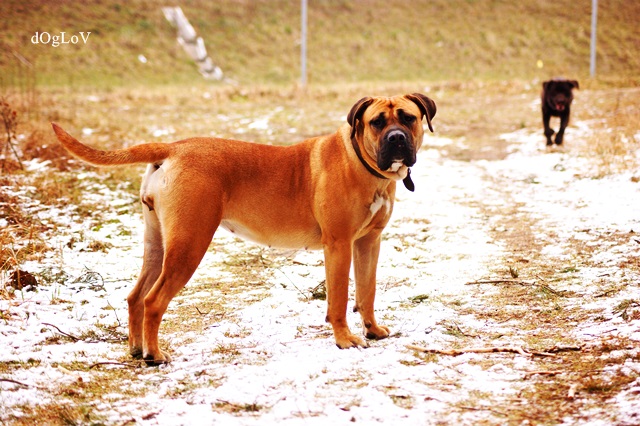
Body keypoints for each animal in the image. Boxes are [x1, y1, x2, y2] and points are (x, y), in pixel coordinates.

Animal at [52, 93, 436, 364]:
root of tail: (173, 148)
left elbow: (367, 291)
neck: (364, 164)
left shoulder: (369, 242)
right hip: (189, 244)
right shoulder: (339, 245)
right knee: (153, 300)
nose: (397, 138)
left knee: (135, 296)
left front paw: (372, 330)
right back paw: (154, 355)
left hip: (158, 243)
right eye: (376, 123)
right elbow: (340, 298)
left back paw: (135, 349)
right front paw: (344, 340)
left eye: (408, 118)